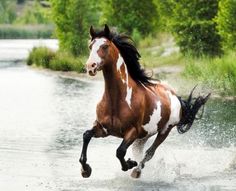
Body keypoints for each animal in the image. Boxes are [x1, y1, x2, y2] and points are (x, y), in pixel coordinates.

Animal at [79, 24, 210, 178]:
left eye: (105, 46)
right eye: (90, 46)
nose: (90, 67)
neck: (116, 100)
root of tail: (175, 96)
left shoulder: (132, 132)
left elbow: (120, 152)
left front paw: (130, 164)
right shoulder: (103, 128)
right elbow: (86, 135)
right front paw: (85, 170)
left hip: (164, 130)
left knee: (149, 153)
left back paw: (136, 170)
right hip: (144, 137)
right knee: (141, 151)